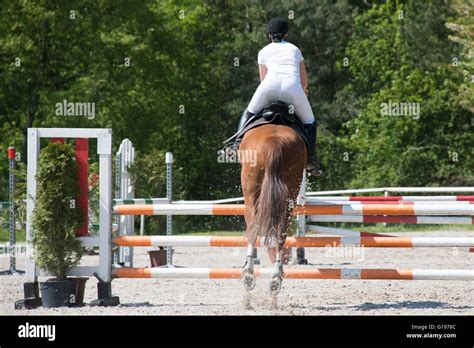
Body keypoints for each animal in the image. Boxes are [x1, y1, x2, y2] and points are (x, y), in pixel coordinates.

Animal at [239, 123, 306, 294]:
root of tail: (274, 142)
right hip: (289, 195)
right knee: (280, 234)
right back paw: (276, 277)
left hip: (251, 195)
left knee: (252, 228)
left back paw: (249, 273)